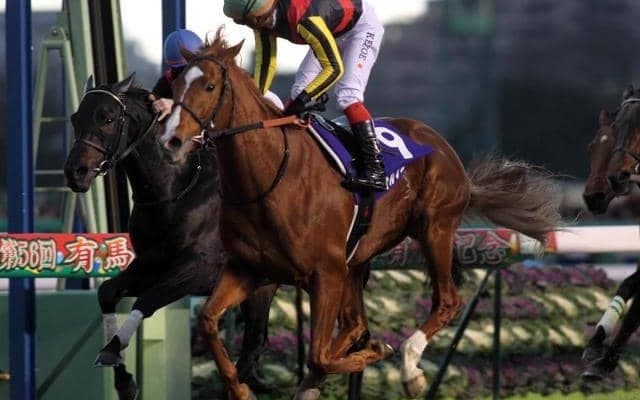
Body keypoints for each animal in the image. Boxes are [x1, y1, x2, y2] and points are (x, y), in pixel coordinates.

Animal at [63, 75, 277, 399]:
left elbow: (147, 300)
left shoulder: (199, 270)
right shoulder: (150, 265)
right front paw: (124, 381)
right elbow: (108, 292)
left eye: (108, 118)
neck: (175, 191)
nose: (75, 172)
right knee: (255, 343)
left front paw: (112, 352)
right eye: (76, 118)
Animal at [159, 32, 562, 400]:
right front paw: (241, 389)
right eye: (175, 84)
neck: (269, 177)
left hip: (435, 229)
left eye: (210, 86)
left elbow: (320, 354)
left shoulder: (326, 272)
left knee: (445, 302)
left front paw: (374, 354)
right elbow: (209, 321)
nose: (170, 142)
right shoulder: (250, 269)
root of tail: (449, 154)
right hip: (357, 262)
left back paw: (408, 368)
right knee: (355, 325)